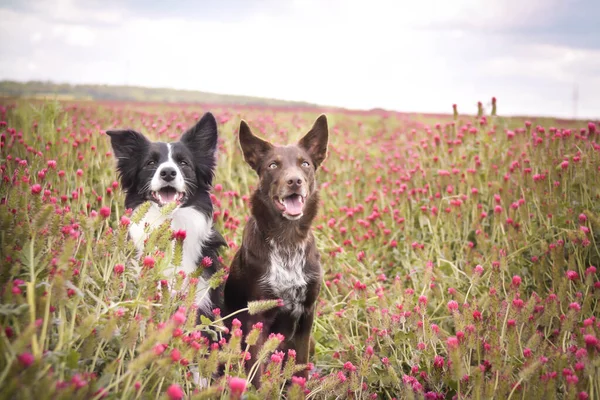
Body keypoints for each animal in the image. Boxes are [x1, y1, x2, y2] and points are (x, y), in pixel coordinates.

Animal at [224, 114, 328, 386]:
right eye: (273, 165)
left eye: (305, 164)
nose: (295, 181)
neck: (287, 241)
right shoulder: (256, 318)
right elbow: (257, 374)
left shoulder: (306, 316)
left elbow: (299, 368)